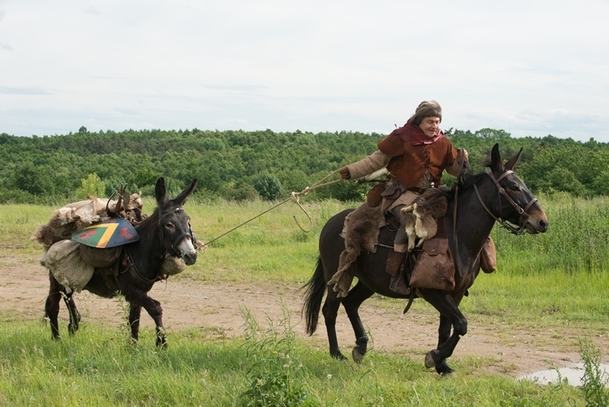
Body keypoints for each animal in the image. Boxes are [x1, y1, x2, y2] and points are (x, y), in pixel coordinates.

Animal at [45, 178, 197, 348]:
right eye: (168, 225)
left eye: (188, 221)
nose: (191, 255)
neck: (139, 250)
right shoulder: (129, 290)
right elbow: (155, 308)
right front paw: (161, 343)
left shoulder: (139, 292)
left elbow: (134, 320)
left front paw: (133, 347)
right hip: (56, 280)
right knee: (52, 305)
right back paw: (57, 340)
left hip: (68, 281)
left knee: (67, 296)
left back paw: (73, 324)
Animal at [302, 144, 548, 376]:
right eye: (513, 187)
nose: (542, 221)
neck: (456, 234)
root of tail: (331, 223)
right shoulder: (432, 291)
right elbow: (461, 324)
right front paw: (434, 357)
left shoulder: (455, 293)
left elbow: (448, 328)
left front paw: (443, 366)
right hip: (338, 274)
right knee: (330, 310)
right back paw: (337, 353)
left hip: (369, 282)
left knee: (351, 303)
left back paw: (360, 347)